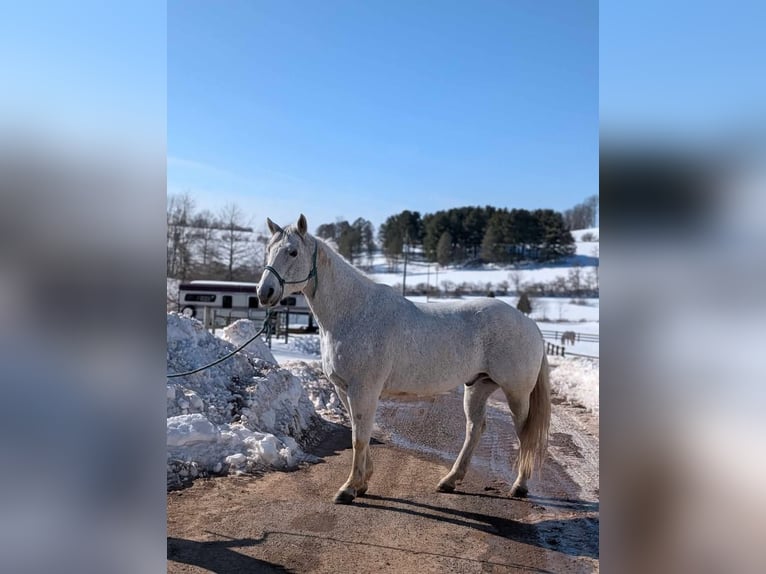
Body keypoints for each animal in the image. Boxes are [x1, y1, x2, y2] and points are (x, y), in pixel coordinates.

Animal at [257, 215, 550, 504]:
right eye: (268, 250)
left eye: (293, 252)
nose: (264, 293)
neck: (354, 311)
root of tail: (529, 323)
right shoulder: (344, 389)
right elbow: (358, 431)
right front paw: (363, 482)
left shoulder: (363, 389)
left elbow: (359, 438)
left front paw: (349, 488)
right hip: (478, 386)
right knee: (475, 429)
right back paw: (449, 481)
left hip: (516, 393)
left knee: (524, 432)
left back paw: (519, 486)